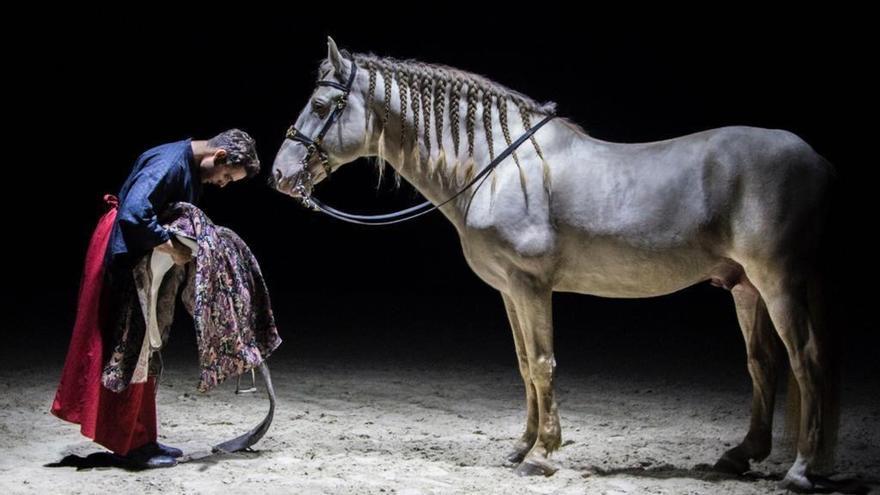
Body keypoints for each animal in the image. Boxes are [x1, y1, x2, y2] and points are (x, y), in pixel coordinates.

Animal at [274, 36, 840, 490]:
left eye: (321, 103)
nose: (279, 173)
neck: (498, 165)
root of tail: (817, 161)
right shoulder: (508, 290)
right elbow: (526, 365)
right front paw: (521, 446)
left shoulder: (531, 286)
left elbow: (544, 364)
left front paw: (544, 454)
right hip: (746, 288)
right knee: (762, 364)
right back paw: (741, 455)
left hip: (779, 282)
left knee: (807, 361)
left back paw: (801, 470)